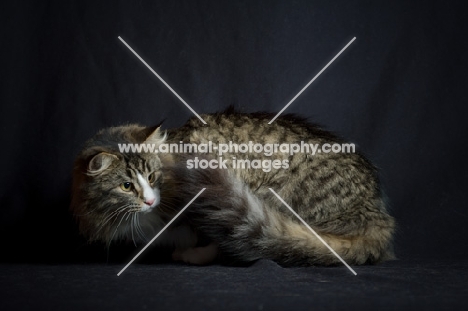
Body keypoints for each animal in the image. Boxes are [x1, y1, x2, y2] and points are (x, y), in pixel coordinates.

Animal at [71, 108, 396, 266]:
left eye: (152, 177)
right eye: (126, 185)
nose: (151, 201)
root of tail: (378, 217)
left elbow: (214, 238)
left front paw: (190, 251)